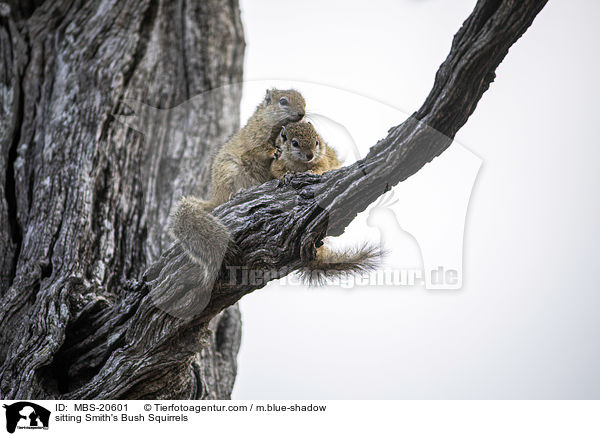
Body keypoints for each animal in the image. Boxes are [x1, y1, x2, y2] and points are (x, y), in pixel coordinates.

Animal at [171, 88, 308, 286]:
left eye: (304, 102)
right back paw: (236, 193)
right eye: (283, 101)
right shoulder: (254, 136)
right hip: (229, 171)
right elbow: (259, 149)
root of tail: (215, 196)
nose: (301, 114)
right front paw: (273, 151)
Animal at [272, 122, 380, 286]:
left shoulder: (324, 160)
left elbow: (321, 168)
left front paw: (311, 171)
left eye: (316, 141)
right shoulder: (277, 163)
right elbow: (278, 172)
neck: (300, 164)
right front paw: (286, 176)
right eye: (294, 143)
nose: (310, 155)